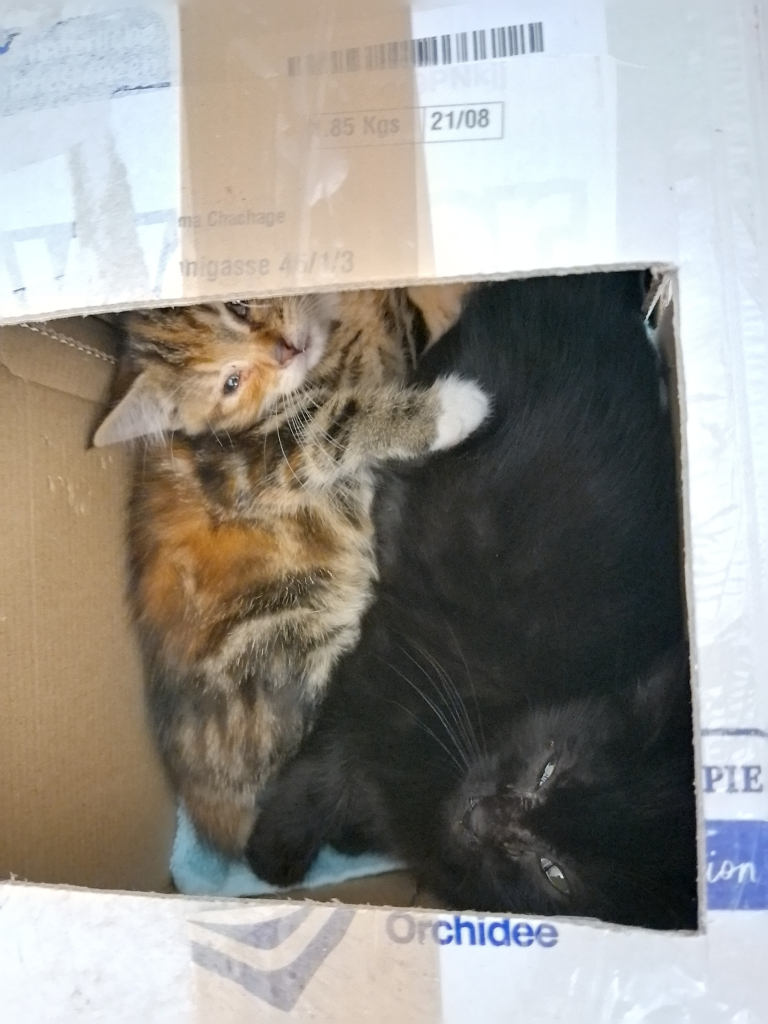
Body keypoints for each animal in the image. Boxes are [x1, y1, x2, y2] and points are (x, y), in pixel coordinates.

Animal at [94, 290, 487, 856]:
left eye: (239, 307)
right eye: (231, 383)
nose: (286, 352)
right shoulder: (258, 459)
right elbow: (334, 426)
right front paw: (448, 409)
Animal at [246, 270, 696, 929]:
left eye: (554, 872)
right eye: (547, 768)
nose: (480, 817)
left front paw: (346, 835)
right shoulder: (390, 662)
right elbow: (321, 762)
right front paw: (273, 852)